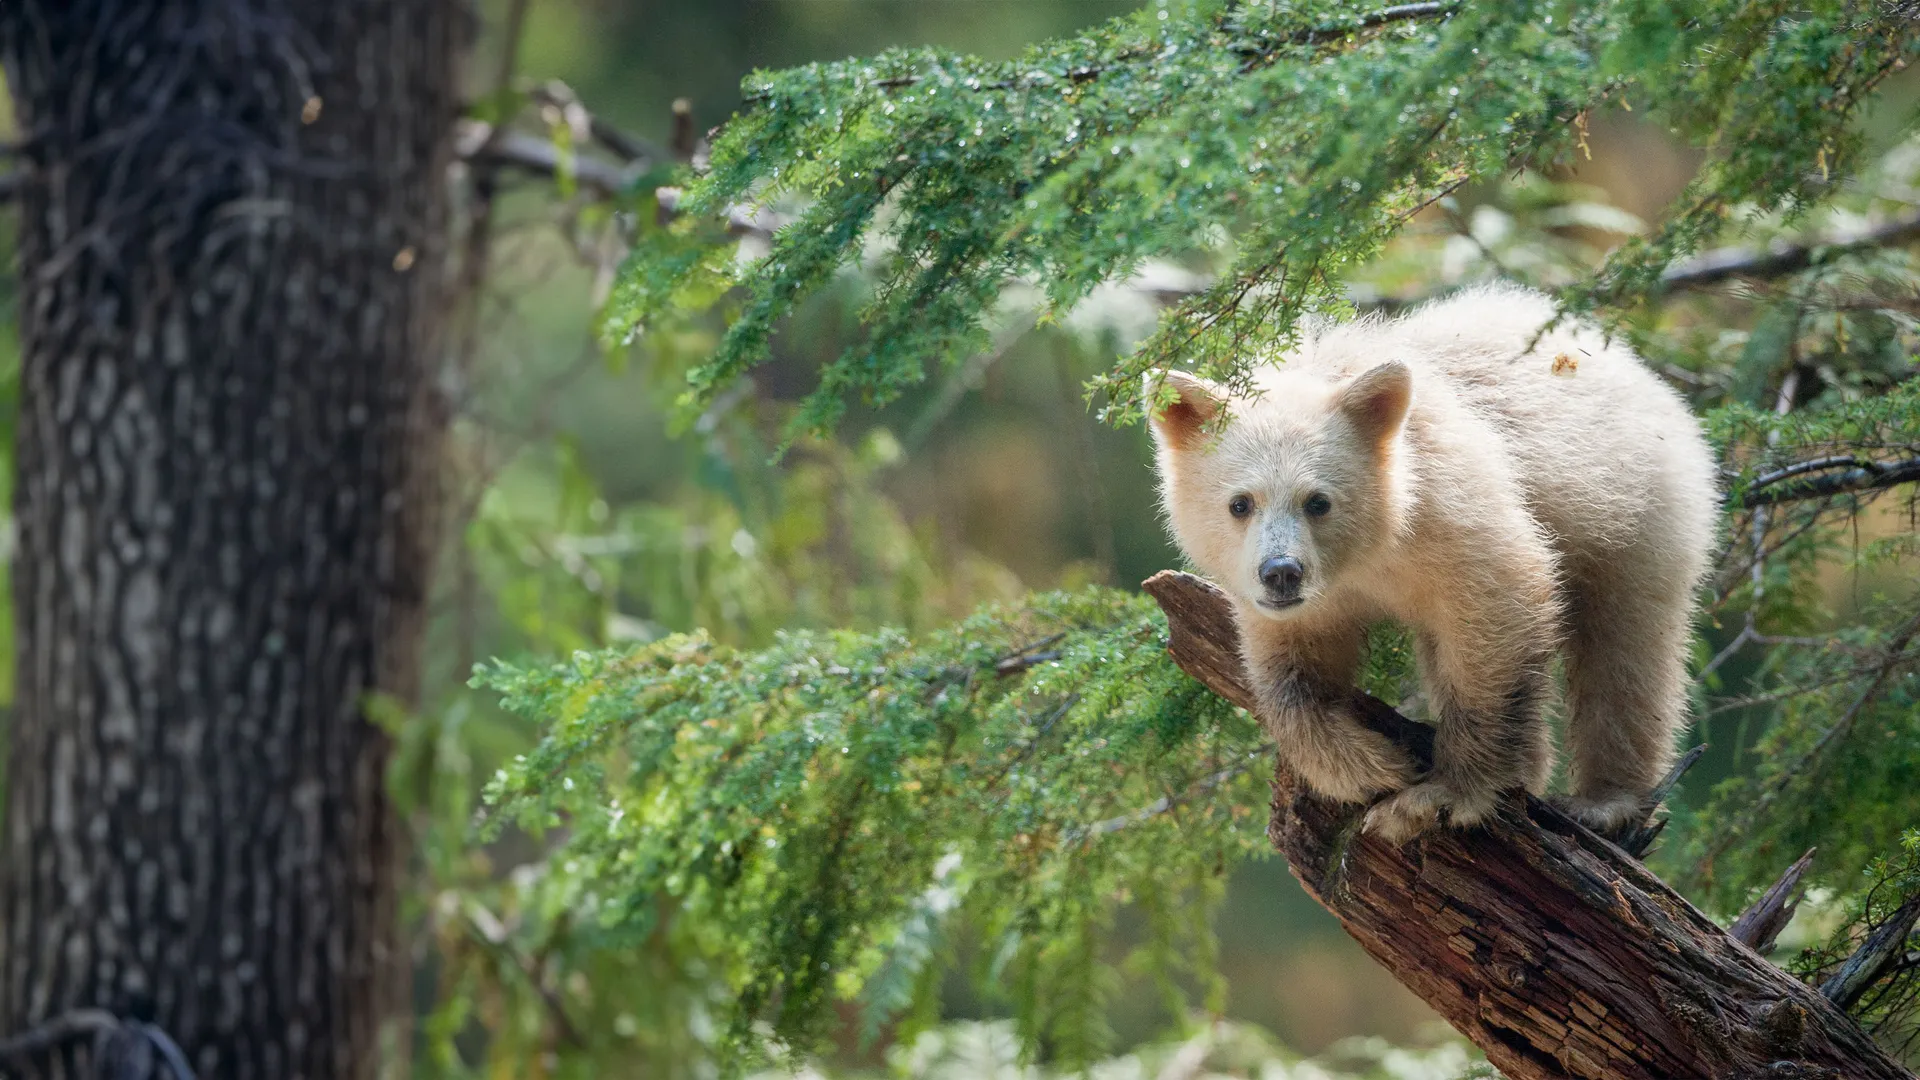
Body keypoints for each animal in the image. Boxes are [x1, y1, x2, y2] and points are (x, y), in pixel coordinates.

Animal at [1147, 282, 1720, 843]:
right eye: (1240, 503)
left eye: (1319, 501)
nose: (1281, 573)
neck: (1369, 555)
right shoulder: (1296, 604)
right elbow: (1290, 673)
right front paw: (1369, 766)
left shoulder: (1450, 510)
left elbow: (1502, 605)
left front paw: (1439, 796)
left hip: (1638, 511)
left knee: (1626, 649)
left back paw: (1604, 803)